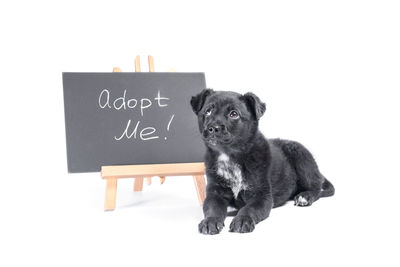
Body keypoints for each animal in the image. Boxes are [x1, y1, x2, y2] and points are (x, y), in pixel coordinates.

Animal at [191, 90, 334, 234]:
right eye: (208, 111)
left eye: (234, 114)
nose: (213, 128)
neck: (229, 156)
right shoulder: (214, 194)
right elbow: (212, 209)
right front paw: (210, 221)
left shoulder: (261, 196)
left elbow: (248, 209)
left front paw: (242, 220)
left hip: (300, 156)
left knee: (316, 188)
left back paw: (305, 196)